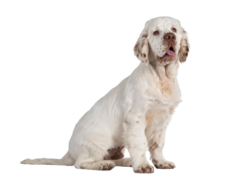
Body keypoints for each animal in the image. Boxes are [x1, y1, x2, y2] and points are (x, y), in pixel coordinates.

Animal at [19, 15, 191, 174]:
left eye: (174, 29)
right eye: (156, 32)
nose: (170, 37)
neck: (161, 77)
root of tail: (68, 152)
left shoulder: (163, 119)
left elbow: (157, 144)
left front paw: (161, 162)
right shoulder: (135, 117)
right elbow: (139, 143)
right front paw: (142, 165)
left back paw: (125, 161)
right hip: (96, 145)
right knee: (80, 163)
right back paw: (104, 165)